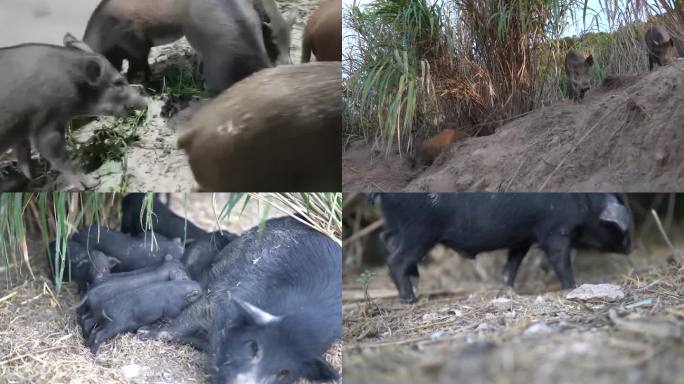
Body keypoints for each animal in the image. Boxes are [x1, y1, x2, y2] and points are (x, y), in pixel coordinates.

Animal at [376, 194, 632, 304]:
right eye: (619, 229)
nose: (631, 247)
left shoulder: (522, 239)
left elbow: (512, 264)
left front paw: (507, 288)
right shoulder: (555, 230)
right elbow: (560, 259)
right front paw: (573, 286)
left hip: (398, 228)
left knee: (386, 241)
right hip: (419, 230)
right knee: (396, 261)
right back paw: (410, 300)